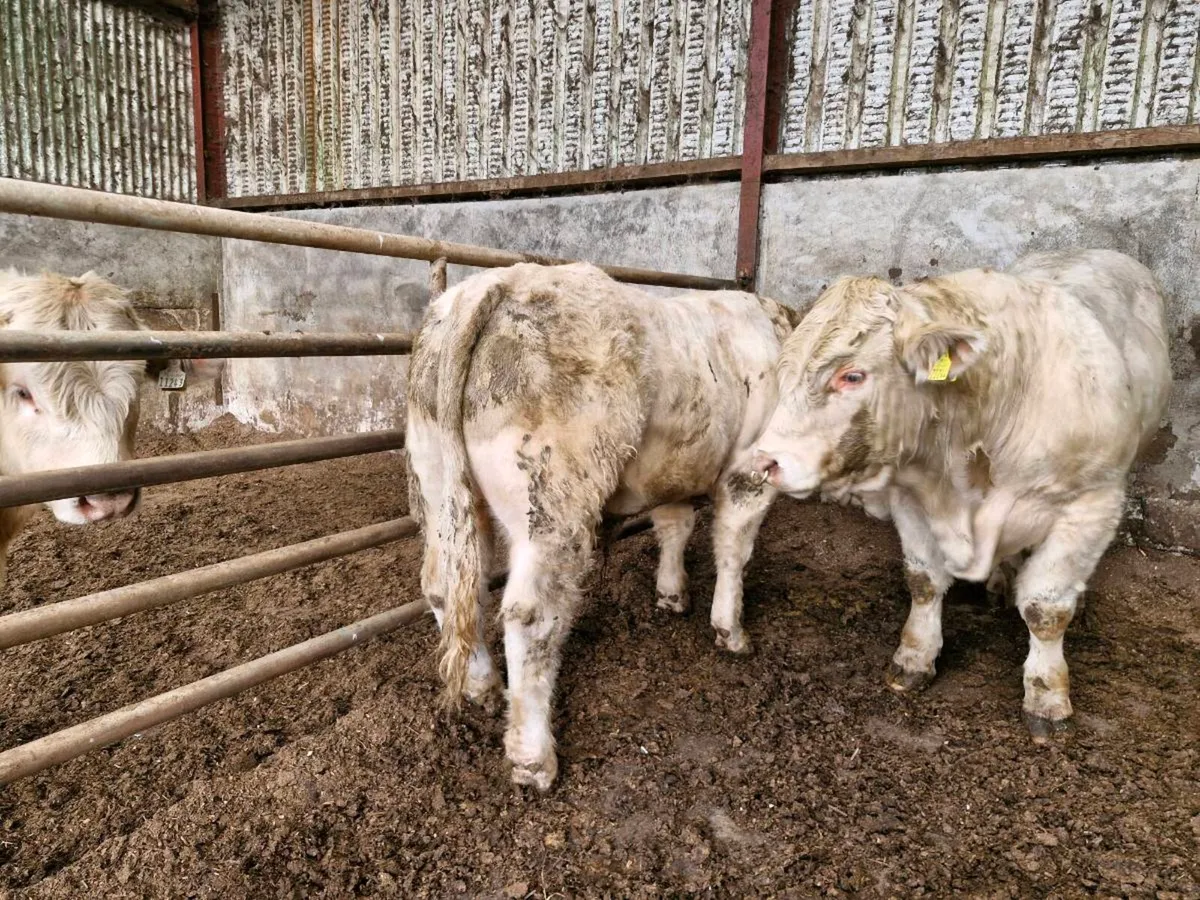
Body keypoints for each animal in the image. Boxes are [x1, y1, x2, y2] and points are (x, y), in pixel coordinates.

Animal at [406, 261, 796, 790]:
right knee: (531, 614)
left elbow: (674, 525)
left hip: (441, 488)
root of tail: (495, 283)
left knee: (445, 586)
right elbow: (734, 548)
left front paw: (672, 594)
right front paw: (730, 629)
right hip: (552, 504)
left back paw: (482, 686)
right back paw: (533, 758)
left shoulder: (673, 470)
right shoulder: (749, 471)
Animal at [751, 249, 1171, 742]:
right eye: (786, 370)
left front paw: (1047, 698)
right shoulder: (911, 495)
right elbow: (924, 581)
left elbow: (1046, 608)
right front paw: (914, 658)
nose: (766, 460)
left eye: (851, 375)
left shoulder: (1091, 504)